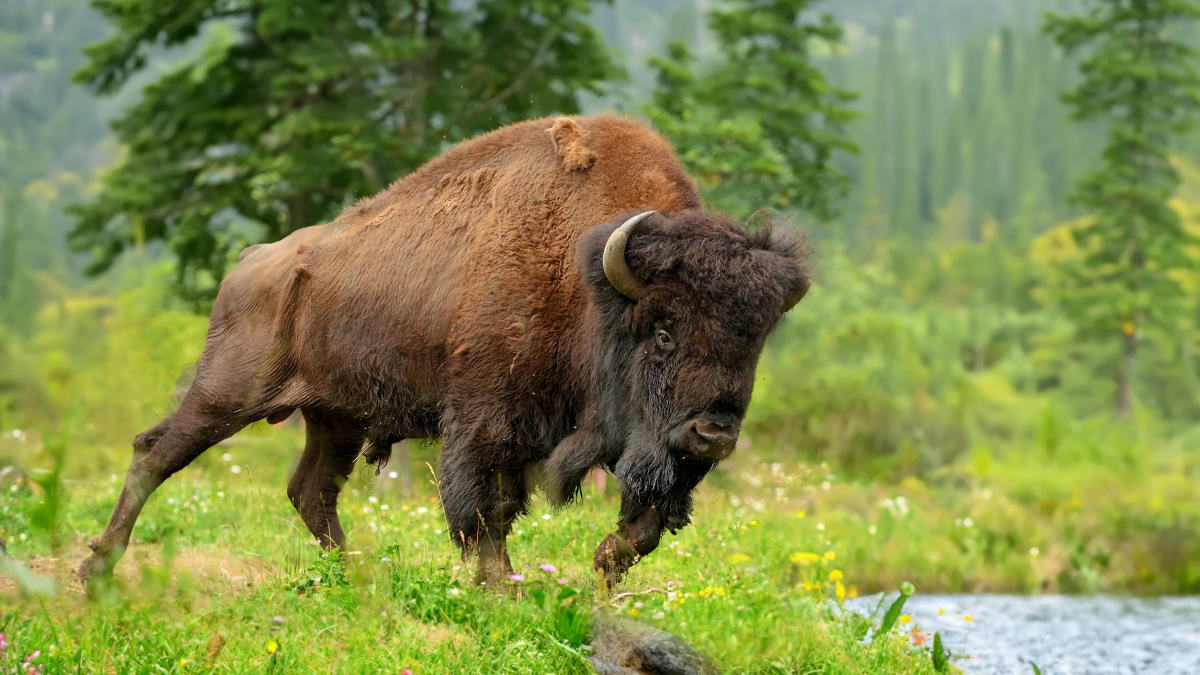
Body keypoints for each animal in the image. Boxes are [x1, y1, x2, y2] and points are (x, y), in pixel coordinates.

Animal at [79, 115, 811, 588]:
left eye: (754, 342)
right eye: (663, 331)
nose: (714, 434)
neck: (589, 281)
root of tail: (253, 260)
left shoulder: (648, 449)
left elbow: (642, 525)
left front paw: (597, 571)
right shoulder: (487, 421)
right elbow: (485, 509)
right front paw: (502, 587)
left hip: (335, 416)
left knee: (311, 490)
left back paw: (360, 577)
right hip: (228, 390)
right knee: (157, 451)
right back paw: (97, 564)